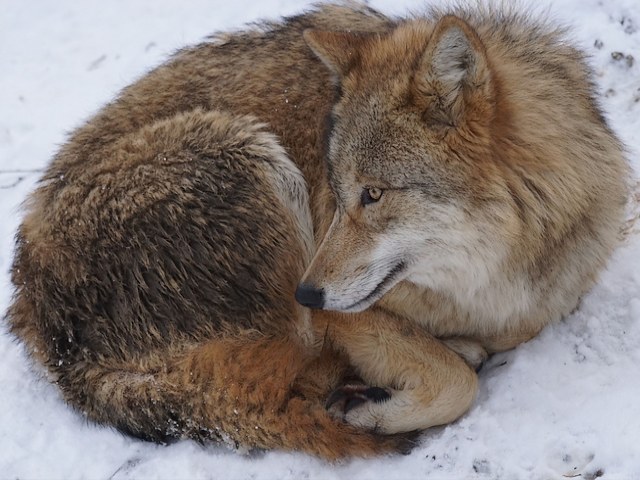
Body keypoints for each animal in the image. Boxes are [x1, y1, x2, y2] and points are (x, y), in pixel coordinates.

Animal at [6, 2, 627, 459]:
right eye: (337, 187)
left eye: (372, 194)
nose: (305, 291)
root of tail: (40, 323)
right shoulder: (344, 317)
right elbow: (457, 383)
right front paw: (380, 410)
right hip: (248, 149)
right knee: (281, 374)